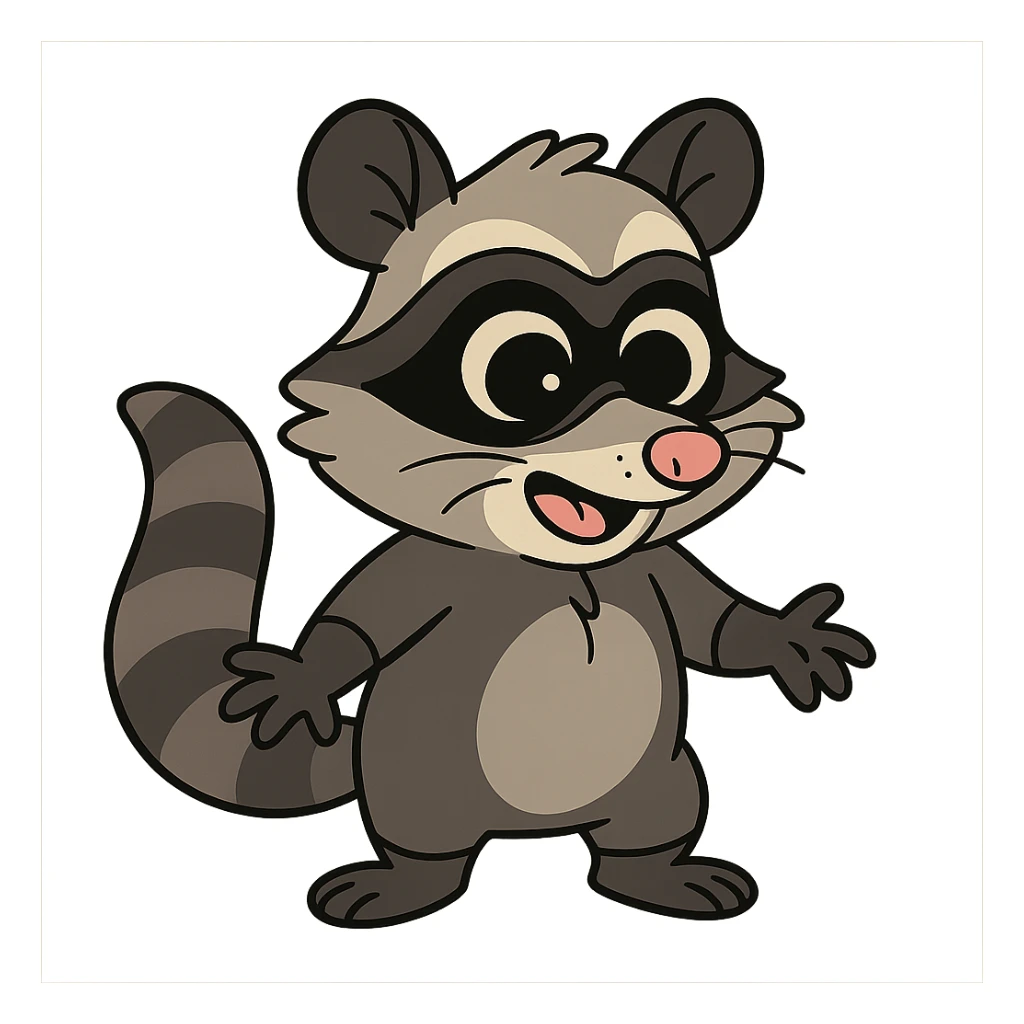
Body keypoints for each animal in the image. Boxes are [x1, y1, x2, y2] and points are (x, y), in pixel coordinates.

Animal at [105, 98, 875, 929]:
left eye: (669, 362)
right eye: (528, 372)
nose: (686, 452)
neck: (553, 571)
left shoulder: (653, 568)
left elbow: (715, 625)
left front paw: (787, 635)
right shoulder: (422, 568)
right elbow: (358, 625)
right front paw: (304, 678)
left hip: (660, 778)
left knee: (647, 825)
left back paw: (655, 876)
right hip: (413, 786)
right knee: (426, 842)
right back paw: (408, 885)